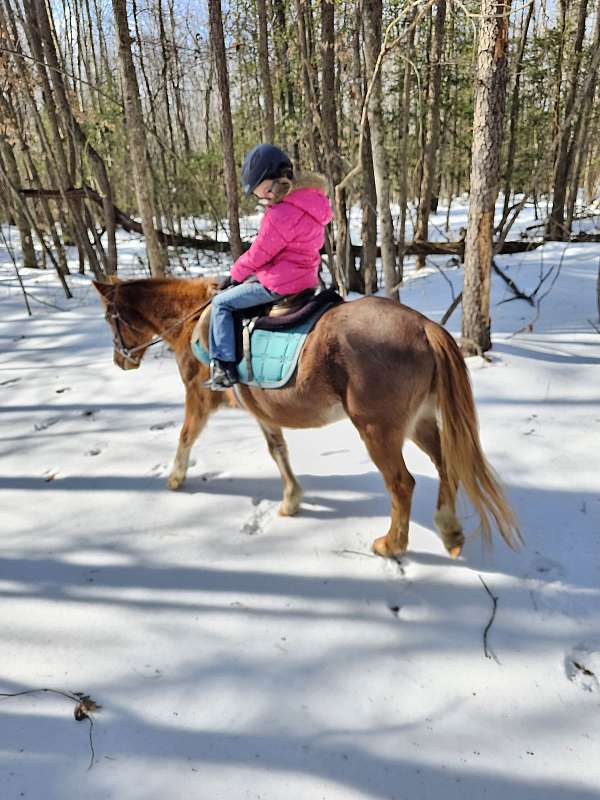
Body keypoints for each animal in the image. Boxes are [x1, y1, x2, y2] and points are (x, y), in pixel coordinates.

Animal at [93, 276, 520, 559]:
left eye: (111, 318)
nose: (120, 361)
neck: (192, 322)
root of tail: (423, 325)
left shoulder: (198, 399)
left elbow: (185, 436)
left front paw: (175, 478)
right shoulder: (261, 411)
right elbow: (277, 450)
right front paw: (291, 500)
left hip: (378, 430)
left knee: (402, 484)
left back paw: (391, 545)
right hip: (419, 422)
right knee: (446, 464)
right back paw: (449, 532)